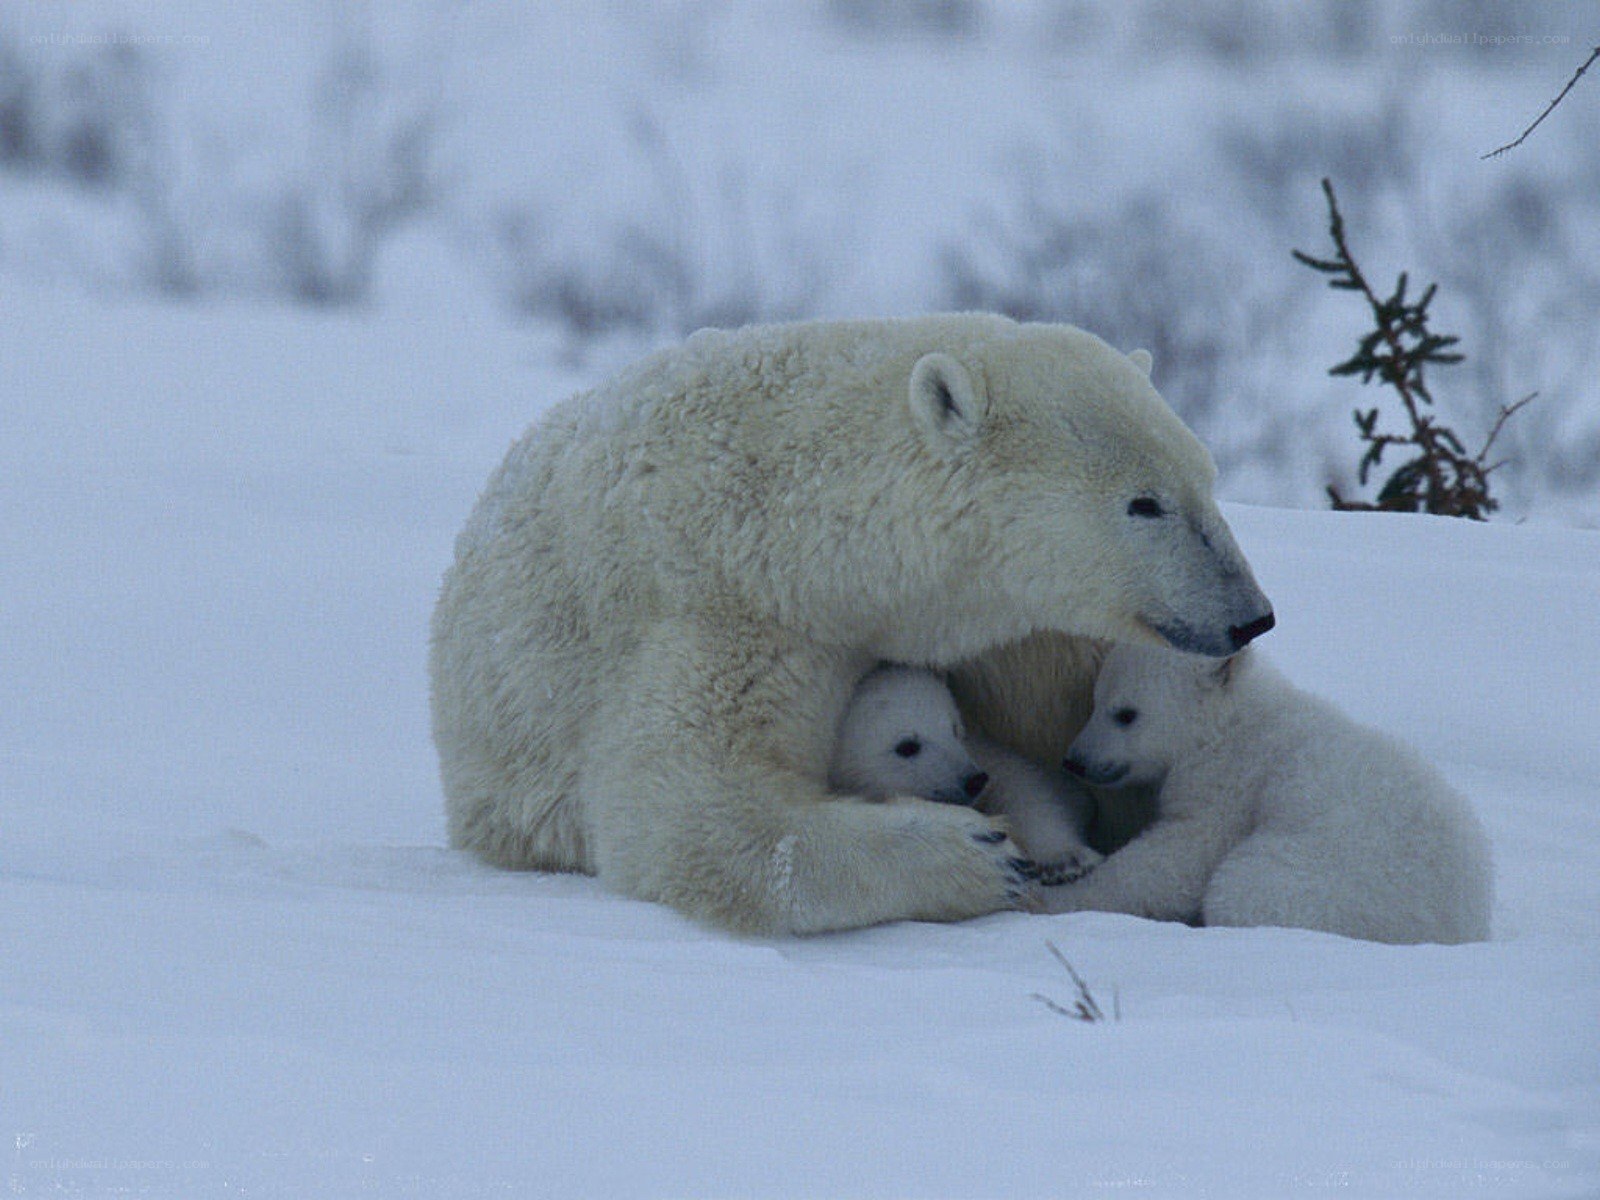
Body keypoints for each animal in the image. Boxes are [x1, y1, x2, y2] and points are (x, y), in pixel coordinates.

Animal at [829, 664, 1102, 885]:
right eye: (907, 746)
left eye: (954, 727)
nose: (974, 780)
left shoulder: (982, 753)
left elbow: (1022, 787)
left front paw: (1064, 861)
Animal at [1043, 643, 1494, 944]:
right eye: (1095, 700)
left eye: (1126, 714)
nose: (1075, 760)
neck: (1233, 720)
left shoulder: (1231, 778)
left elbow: (1180, 857)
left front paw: (1057, 896)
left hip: (1333, 881)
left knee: (1242, 889)